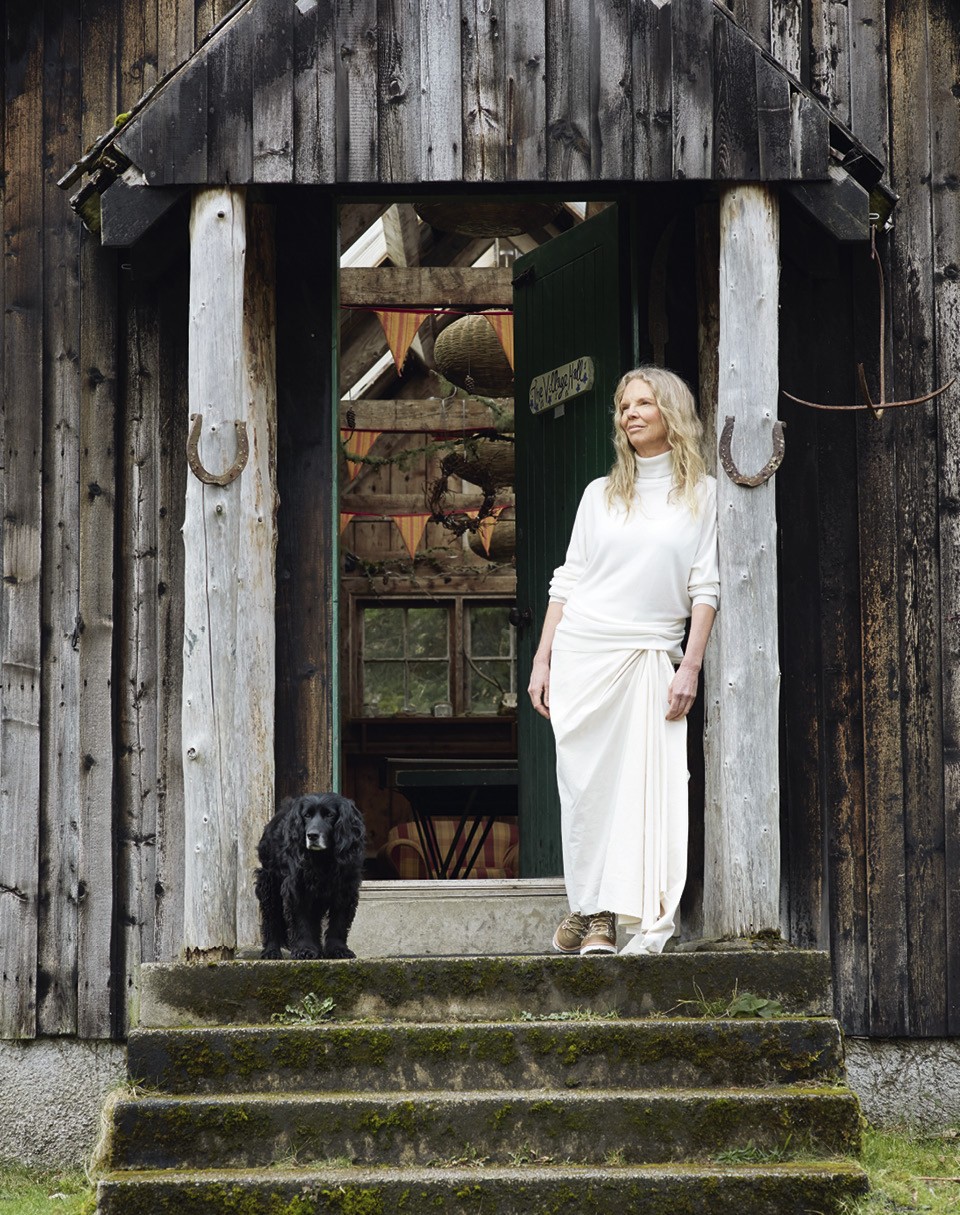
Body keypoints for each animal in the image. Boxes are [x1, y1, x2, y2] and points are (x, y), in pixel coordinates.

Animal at [255, 793, 366, 960]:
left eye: (329, 815)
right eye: (307, 815)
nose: (312, 835)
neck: (322, 859)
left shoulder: (345, 889)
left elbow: (339, 922)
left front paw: (338, 949)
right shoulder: (297, 888)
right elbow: (302, 921)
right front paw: (305, 949)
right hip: (269, 882)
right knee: (271, 918)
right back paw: (271, 951)